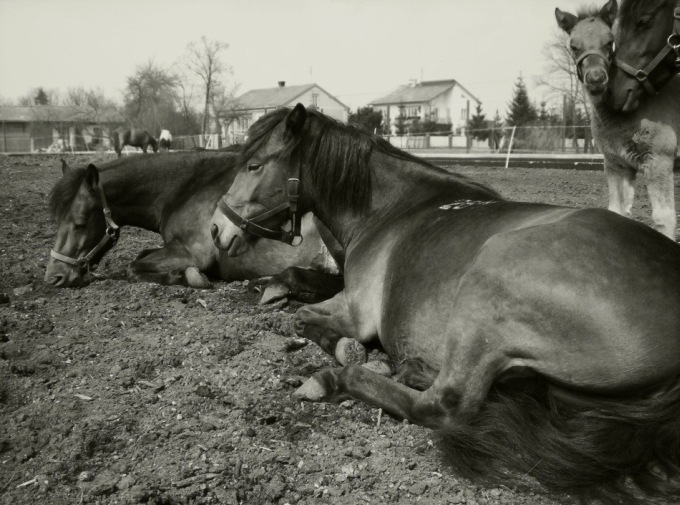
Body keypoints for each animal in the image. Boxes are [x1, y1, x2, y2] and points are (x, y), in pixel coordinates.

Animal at [43, 151, 342, 304]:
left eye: (80, 223)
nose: (54, 277)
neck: (187, 188)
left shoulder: (192, 253)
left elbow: (133, 266)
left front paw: (186, 277)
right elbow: (140, 256)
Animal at [210, 105, 680, 500]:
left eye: (254, 165)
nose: (216, 228)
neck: (388, 210)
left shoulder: (357, 310)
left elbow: (303, 320)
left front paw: (345, 350)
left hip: (487, 283)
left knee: (445, 404)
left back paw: (336, 378)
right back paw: (410, 368)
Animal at [556, 0, 680, 240]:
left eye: (609, 42)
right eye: (573, 46)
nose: (596, 79)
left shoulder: (659, 161)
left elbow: (665, 220)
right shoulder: (616, 164)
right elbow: (616, 213)